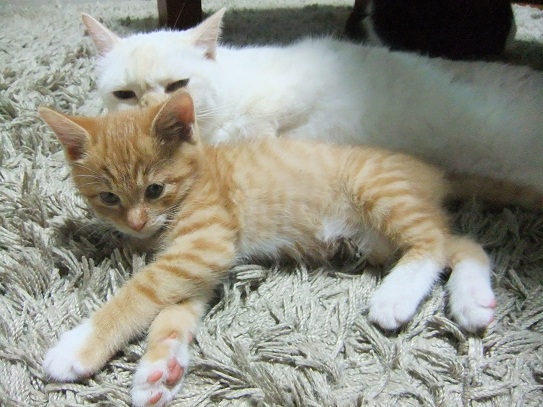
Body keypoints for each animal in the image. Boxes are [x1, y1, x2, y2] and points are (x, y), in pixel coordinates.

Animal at [40, 90, 496, 407]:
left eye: (155, 189)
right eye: (108, 198)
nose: (135, 223)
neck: (198, 178)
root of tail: (434, 171)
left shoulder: (206, 245)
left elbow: (141, 291)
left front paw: (78, 346)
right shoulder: (197, 264)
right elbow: (172, 311)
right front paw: (160, 368)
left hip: (377, 189)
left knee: (433, 242)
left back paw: (396, 297)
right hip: (378, 238)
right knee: (466, 243)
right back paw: (472, 301)